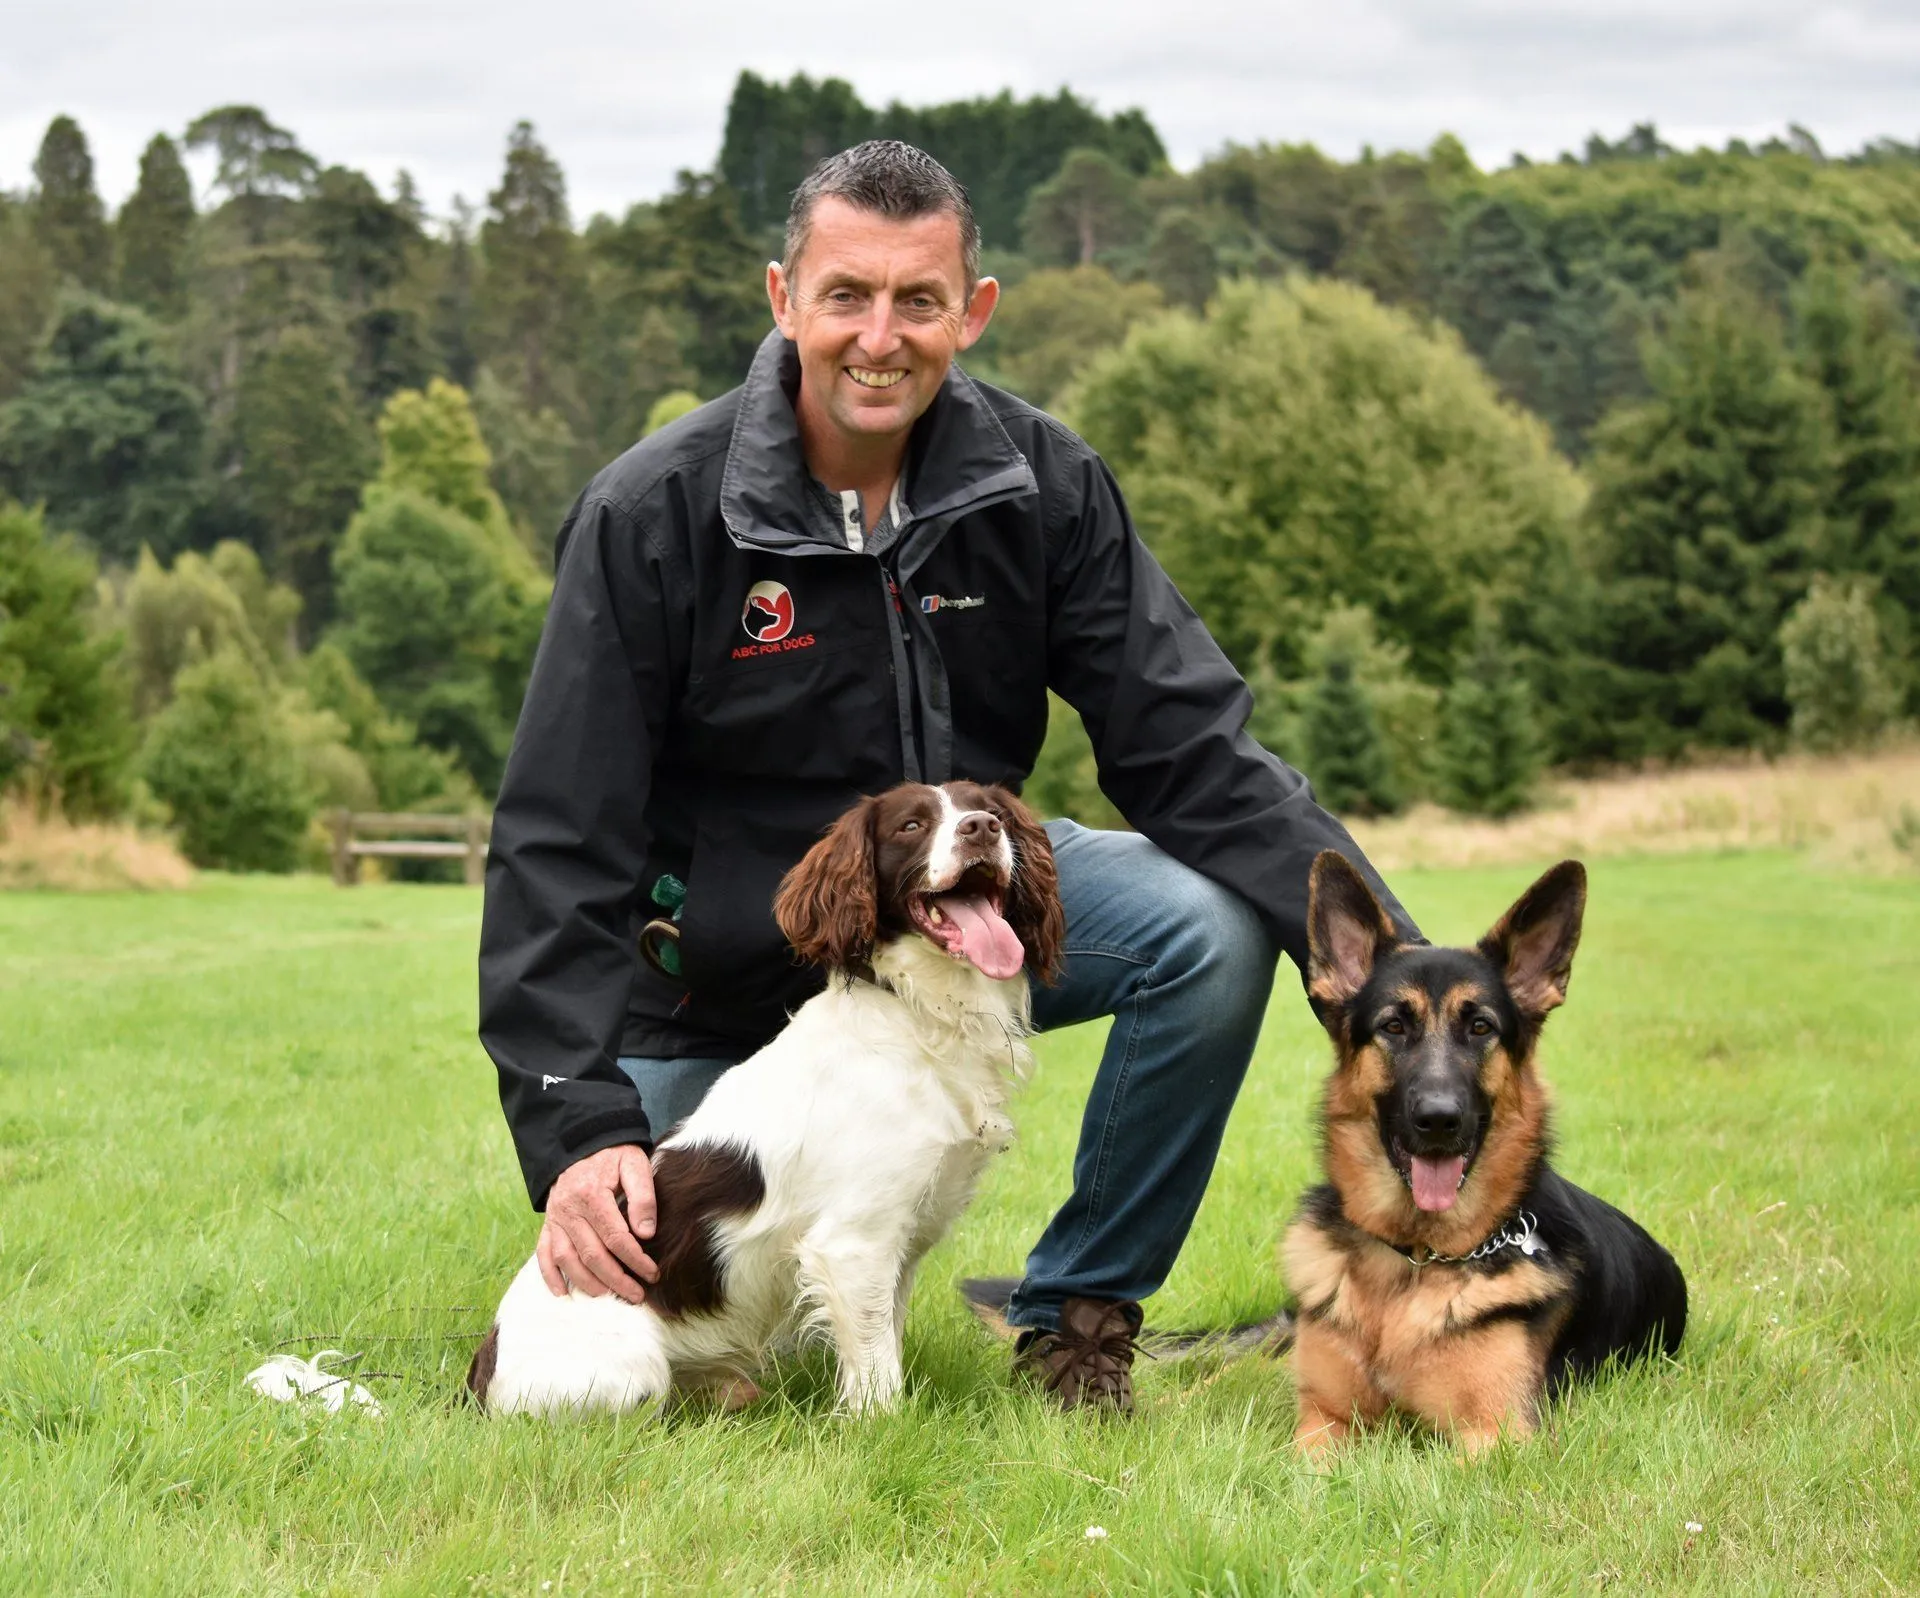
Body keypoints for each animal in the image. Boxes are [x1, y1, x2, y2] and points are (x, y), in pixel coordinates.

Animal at [464, 779, 1067, 1413]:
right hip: (634, 1375)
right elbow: (877, 1376)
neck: (921, 1013)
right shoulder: (854, 1243)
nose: (981, 829)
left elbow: (885, 1342)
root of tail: (482, 1374)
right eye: (911, 826)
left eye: (994, 812)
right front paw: (879, 1424)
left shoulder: (899, 1242)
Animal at [1282, 856, 1689, 1452]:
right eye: (1393, 1026)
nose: (1438, 1119)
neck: (1416, 1262)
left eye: (1480, 1027)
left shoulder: (1497, 1435)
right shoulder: (1323, 1421)